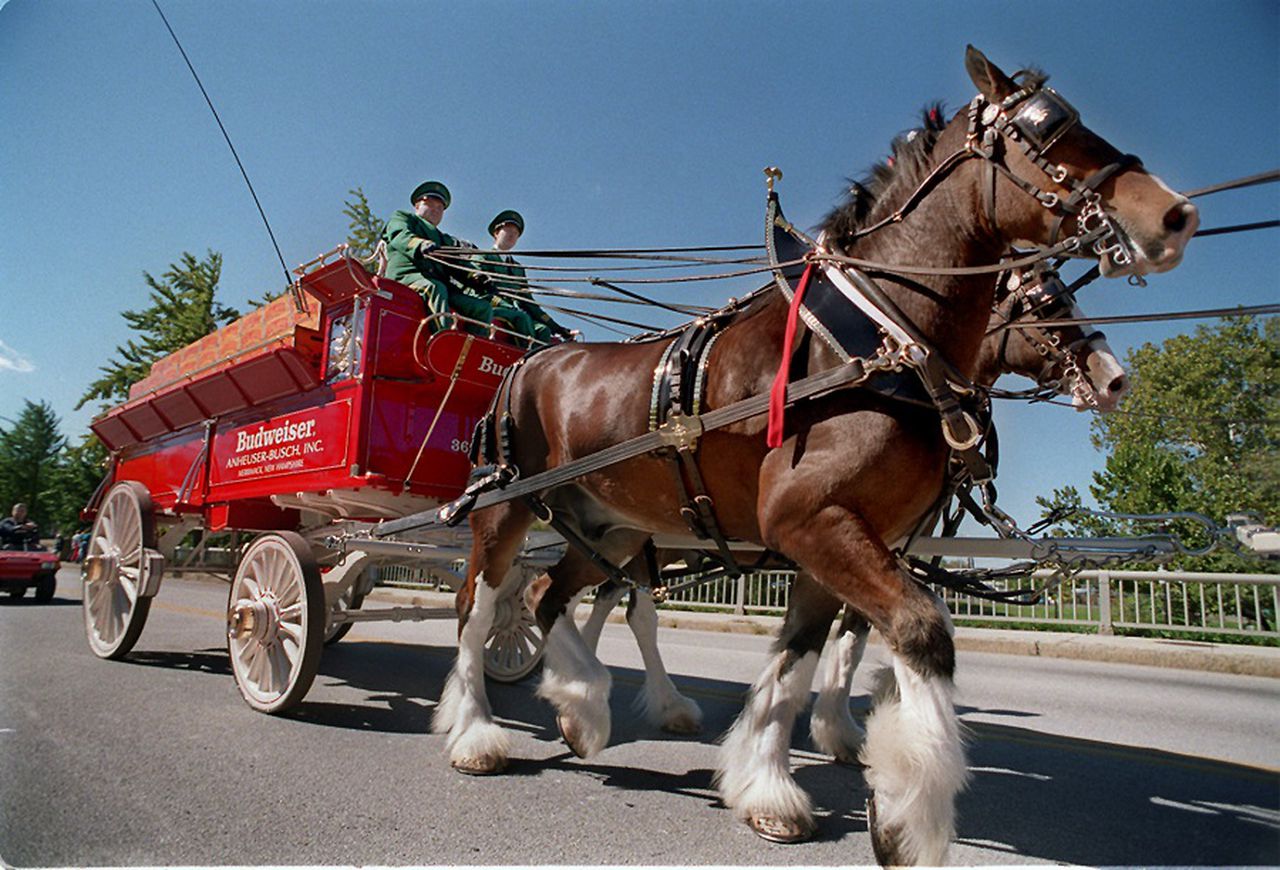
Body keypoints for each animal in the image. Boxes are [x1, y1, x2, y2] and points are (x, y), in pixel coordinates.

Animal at [435, 47, 1192, 864]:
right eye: (1043, 130)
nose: (1174, 213)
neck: (873, 345)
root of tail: (530, 360)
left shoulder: (838, 538)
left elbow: (795, 665)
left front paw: (769, 783)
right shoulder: (814, 524)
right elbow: (920, 632)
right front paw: (906, 811)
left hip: (616, 525)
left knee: (555, 595)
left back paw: (584, 707)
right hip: (507, 508)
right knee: (481, 606)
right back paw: (476, 732)